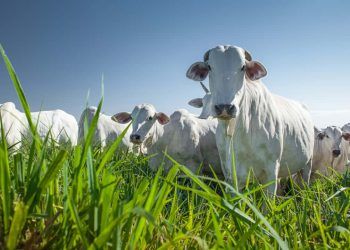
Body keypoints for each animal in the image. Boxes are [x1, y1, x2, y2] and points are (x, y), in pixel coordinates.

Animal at [186, 45, 314, 194]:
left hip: (308, 164)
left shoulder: (271, 171)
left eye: (243, 67)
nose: (225, 107)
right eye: (210, 66)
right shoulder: (230, 175)